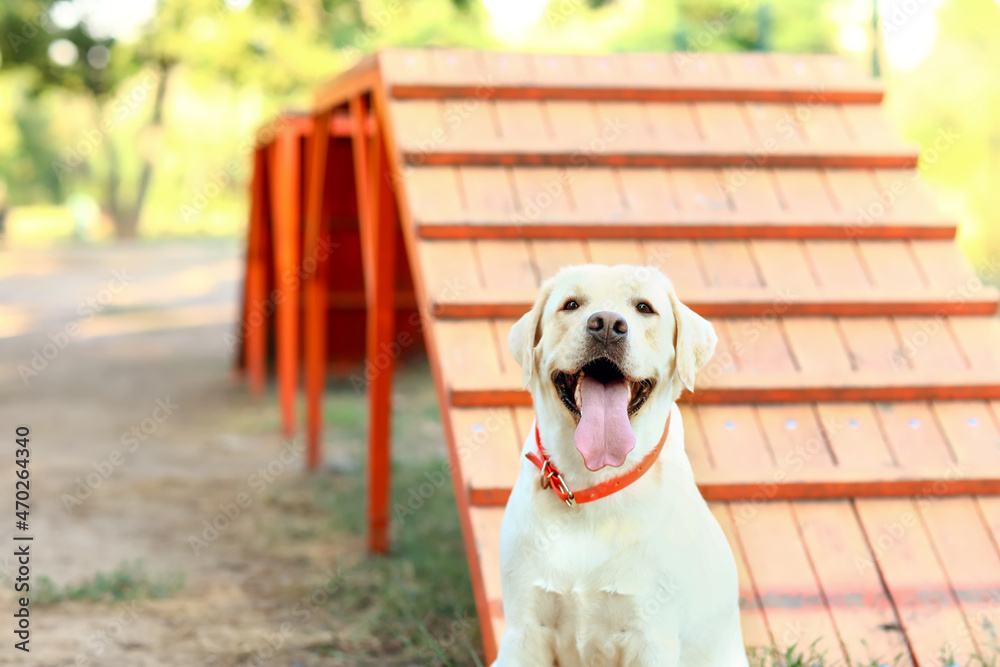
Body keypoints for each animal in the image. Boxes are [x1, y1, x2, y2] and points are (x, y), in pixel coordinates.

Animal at [496, 266, 748, 667]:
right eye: (571, 305)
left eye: (644, 307)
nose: (607, 325)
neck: (592, 485)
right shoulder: (525, 628)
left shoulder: (651, 637)